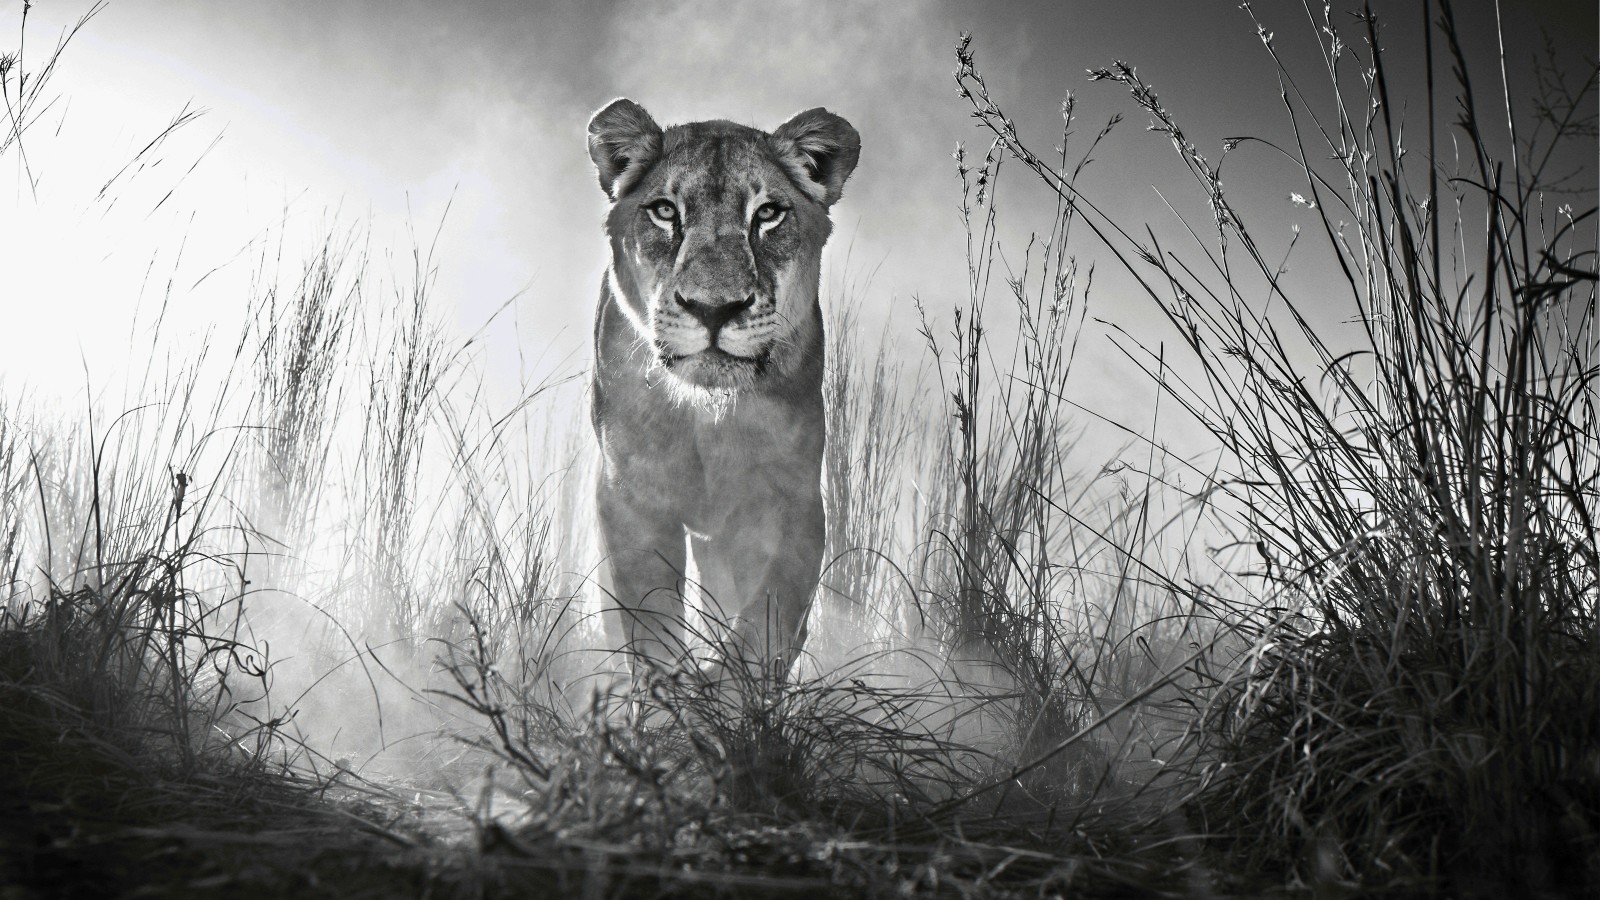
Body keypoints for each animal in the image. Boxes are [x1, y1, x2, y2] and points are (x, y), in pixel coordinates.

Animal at [585, 98, 860, 683]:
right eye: (665, 211)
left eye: (768, 213)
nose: (714, 309)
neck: (706, 416)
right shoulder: (630, 496)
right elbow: (649, 618)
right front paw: (668, 694)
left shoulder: (791, 499)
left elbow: (769, 616)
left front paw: (727, 688)